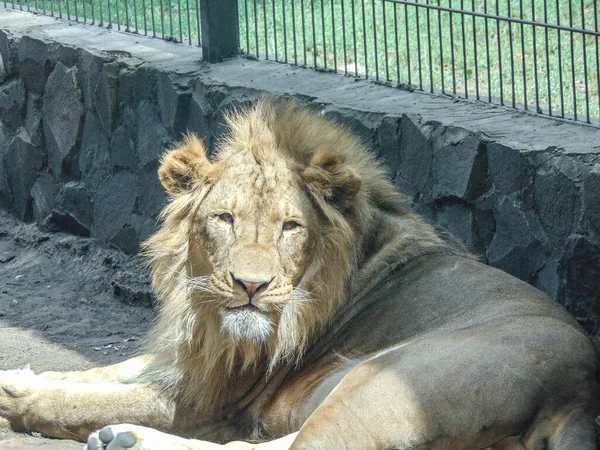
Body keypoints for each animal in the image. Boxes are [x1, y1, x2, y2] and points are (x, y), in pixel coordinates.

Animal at [0, 98, 596, 450]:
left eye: (291, 227)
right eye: (225, 219)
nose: (251, 286)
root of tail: (579, 393)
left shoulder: (212, 401)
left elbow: (89, 398)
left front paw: (21, 403)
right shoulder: (194, 357)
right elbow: (107, 371)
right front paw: (22, 378)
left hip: (375, 384)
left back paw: (128, 437)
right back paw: (123, 438)